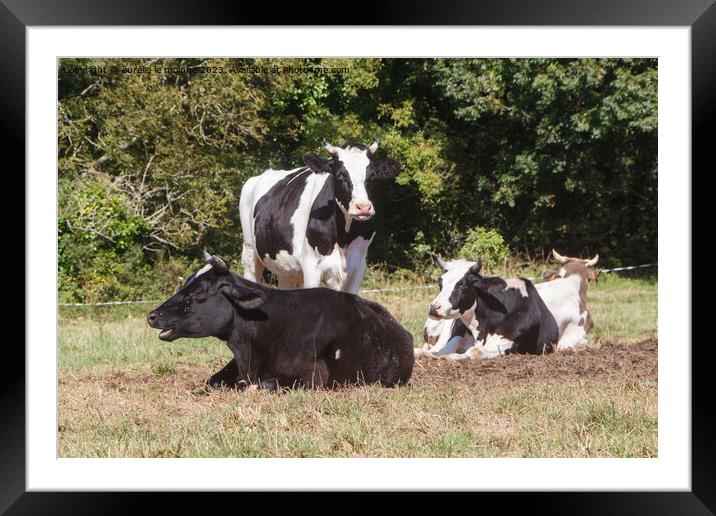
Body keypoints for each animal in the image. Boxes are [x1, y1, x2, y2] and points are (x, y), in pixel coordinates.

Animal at [241, 141, 402, 292]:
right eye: (340, 176)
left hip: (286, 270)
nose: (363, 207)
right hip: (249, 254)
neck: (344, 239)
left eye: (372, 177)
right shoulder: (311, 268)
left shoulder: (358, 268)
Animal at [420, 258, 560, 358]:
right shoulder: (457, 336)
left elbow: (474, 351)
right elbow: (441, 351)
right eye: (440, 282)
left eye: (462, 284)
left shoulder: (511, 342)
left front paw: (451, 357)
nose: (434, 307)